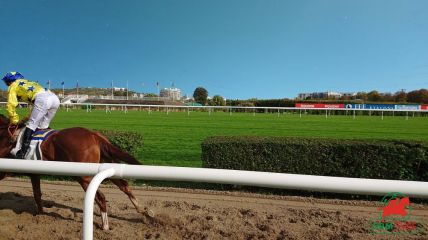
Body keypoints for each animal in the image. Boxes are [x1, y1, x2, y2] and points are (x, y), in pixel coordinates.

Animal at [0, 113, 150, 230]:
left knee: (101, 197)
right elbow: (37, 194)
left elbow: (36, 194)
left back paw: (105, 226)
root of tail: (94, 135)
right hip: (105, 165)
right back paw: (144, 211)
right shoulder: (34, 173)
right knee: (124, 185)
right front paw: (41, 214)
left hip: (83, 176)